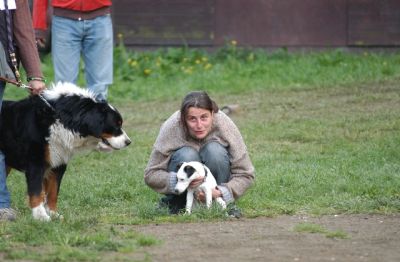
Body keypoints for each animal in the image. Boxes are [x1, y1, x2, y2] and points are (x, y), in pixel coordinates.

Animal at [0, 82, 131, 221]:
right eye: (116, 125)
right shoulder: (36, 163)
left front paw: (53, 214)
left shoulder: (58, 163)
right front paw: (41, 216)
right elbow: (37, 192)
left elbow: (53, 192)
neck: (59, 119)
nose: (128, 142)